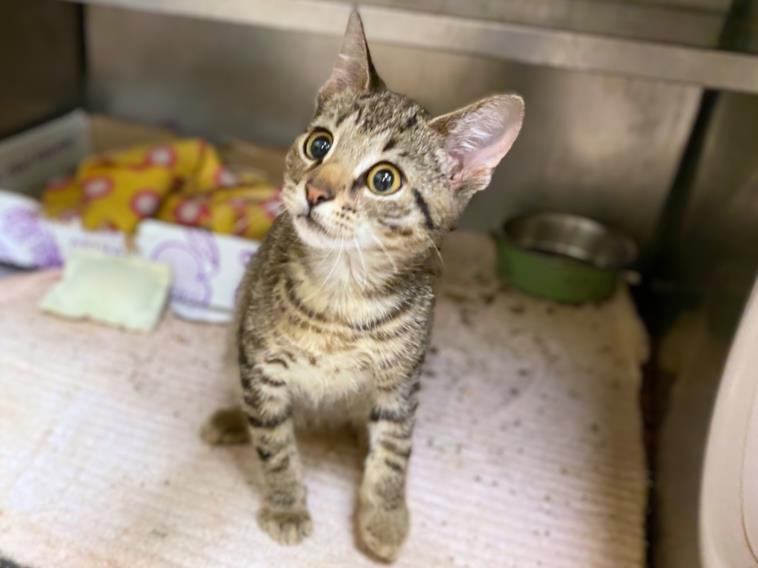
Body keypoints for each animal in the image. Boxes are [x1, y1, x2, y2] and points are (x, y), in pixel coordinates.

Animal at [200, 10, 524, 564]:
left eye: (384, 180)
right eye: (319, 144)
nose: (314, 190)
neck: (341, 294)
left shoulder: (400, 384)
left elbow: (393, 452)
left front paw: (384, 517)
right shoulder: (260, 364)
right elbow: (275, 445)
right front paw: (287, 506)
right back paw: (230, 421)